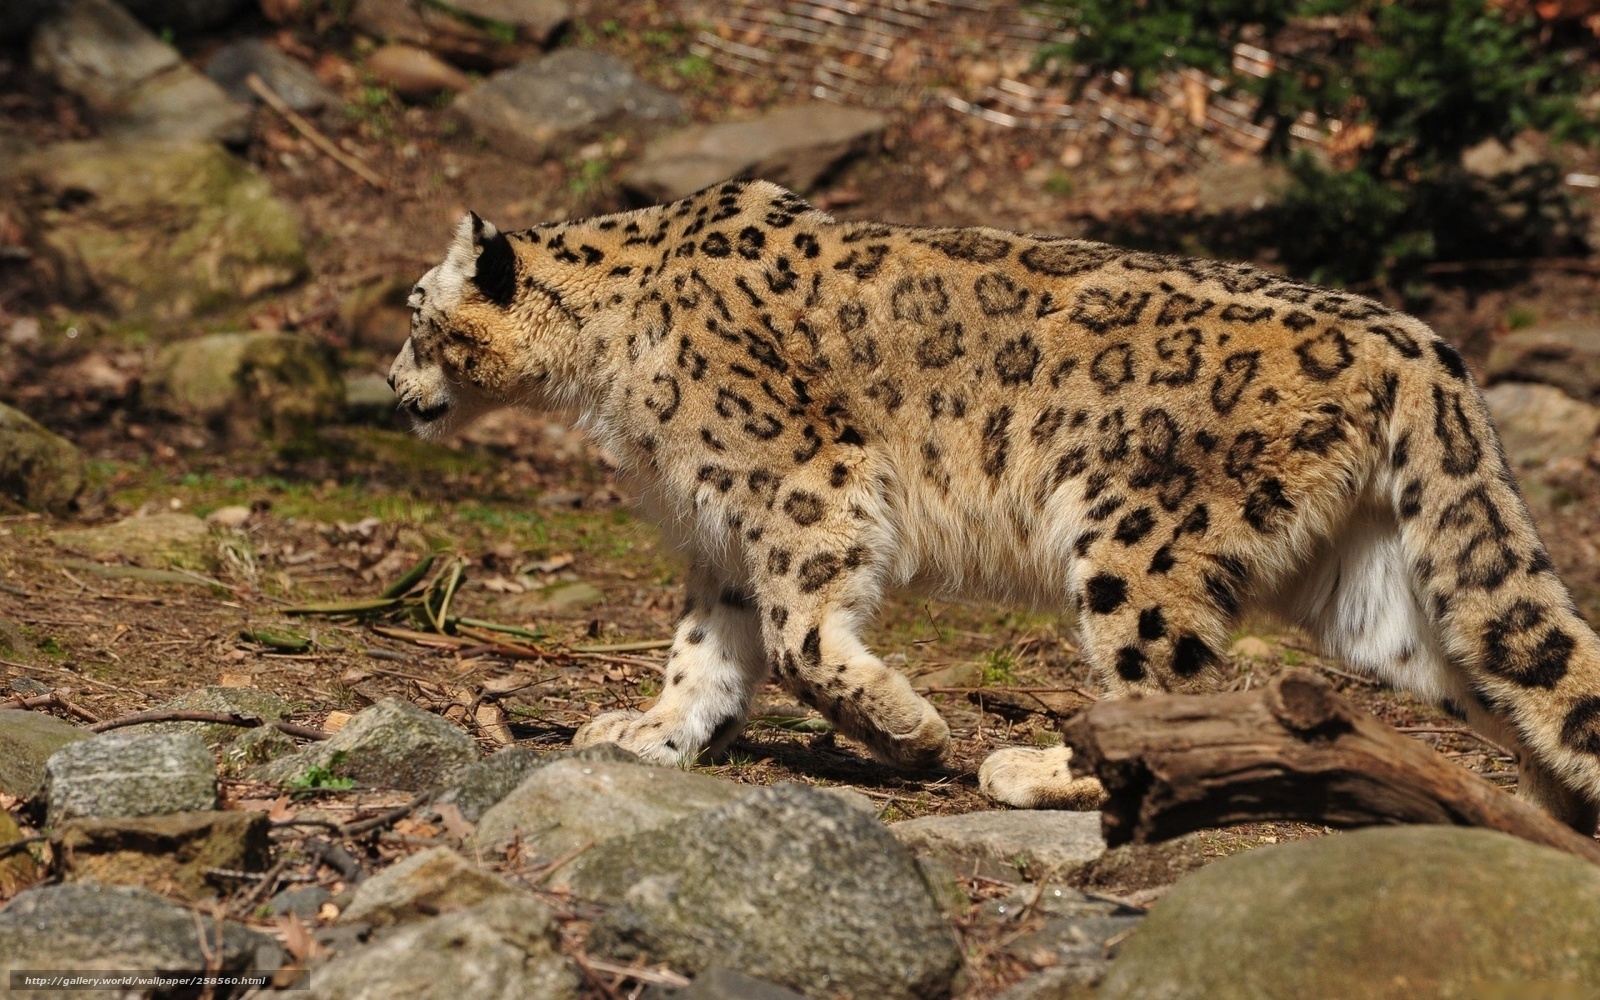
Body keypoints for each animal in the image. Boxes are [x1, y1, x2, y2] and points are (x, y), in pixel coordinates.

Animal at [388, 178, 1600, 831]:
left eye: (413, 313)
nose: (393, 387)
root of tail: (1411, 336)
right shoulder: (720, 529)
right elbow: (709, 645)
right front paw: (653, 732)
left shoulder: (801, 484)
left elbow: (797, 636)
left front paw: (907, 729)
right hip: (1374, 589)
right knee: (1509, 669)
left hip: (1140, 539)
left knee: (1155, 681)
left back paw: (1035, 766)